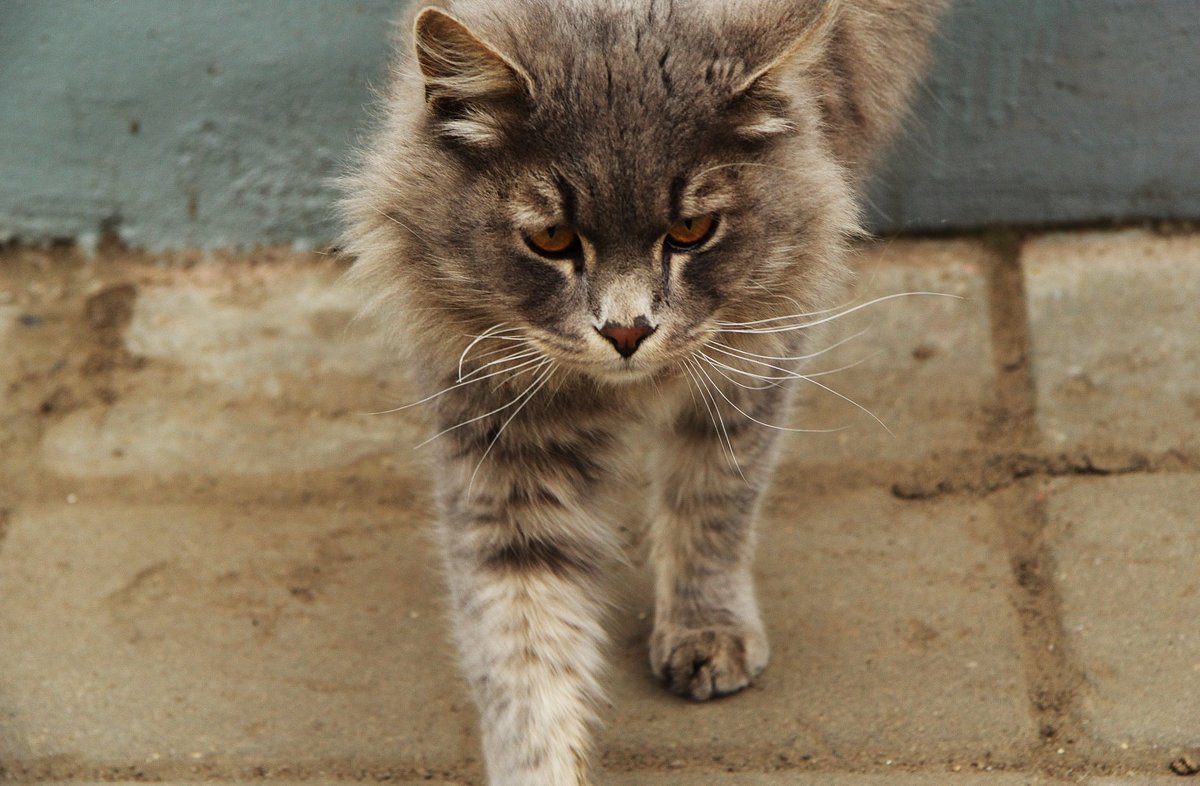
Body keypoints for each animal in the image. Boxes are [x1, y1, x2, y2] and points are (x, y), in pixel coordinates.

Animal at [338, 1, 945, 782]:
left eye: (691, 229)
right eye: (552, 238)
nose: (627, 331)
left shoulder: (755, 356)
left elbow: (714, 500)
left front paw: (706, 628)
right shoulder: (499, 434)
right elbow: (522, 646)